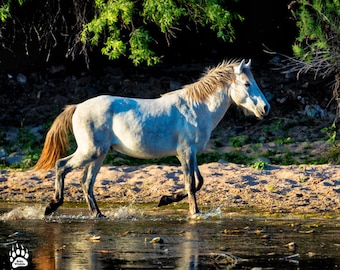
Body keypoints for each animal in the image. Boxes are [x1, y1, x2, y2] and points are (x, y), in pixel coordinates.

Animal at [34, 59, 270, 217]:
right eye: (247, 84)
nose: (265, 108)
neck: (197, 108)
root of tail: (77, 107)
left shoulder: (190, 153)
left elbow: (199, 181)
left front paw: (165, 200)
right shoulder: (186, 152)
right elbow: (191, 183)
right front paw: (194, 213)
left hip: (98, 155)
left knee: (86, 182)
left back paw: (98, 214)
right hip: (90, 152)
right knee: (62, 166)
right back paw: (52, 206)